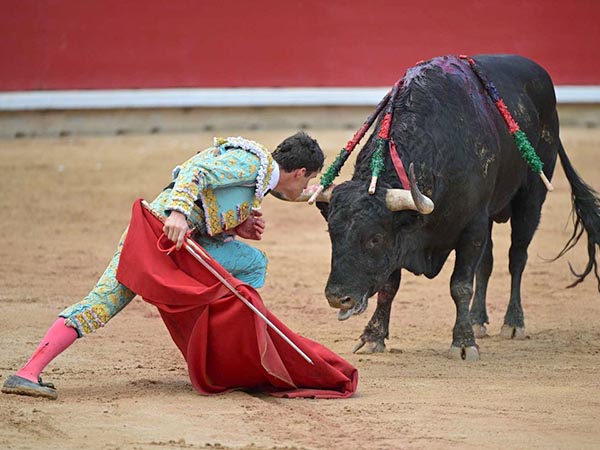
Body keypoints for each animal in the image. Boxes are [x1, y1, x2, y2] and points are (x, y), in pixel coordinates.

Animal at [308, 54, 596, 360]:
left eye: (374, 238)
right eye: (332, 234)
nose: (337, 297)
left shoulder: (471, 227)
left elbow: (460, 285)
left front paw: (464, 343)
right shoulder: (408, 236)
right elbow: (389, 285)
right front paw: (373, 336)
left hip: (532, 196)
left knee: (517, 256)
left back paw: (513, 323)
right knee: (487, 263)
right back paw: (479, 320)